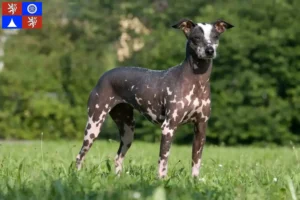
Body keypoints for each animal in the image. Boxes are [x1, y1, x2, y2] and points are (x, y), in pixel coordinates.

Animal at [75, 18, 234, 178]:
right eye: (196, 38)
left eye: (215, 37)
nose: (210, 50)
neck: (196, 81)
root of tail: (104, 76)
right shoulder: (168, 128)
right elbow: (163, 161)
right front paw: (161, 180)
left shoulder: (201, 129)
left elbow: (196, 161)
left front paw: (194, 181)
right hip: (94, 125)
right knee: (80, 155)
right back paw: (77, 175)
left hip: (128, 131)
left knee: (118, 157)